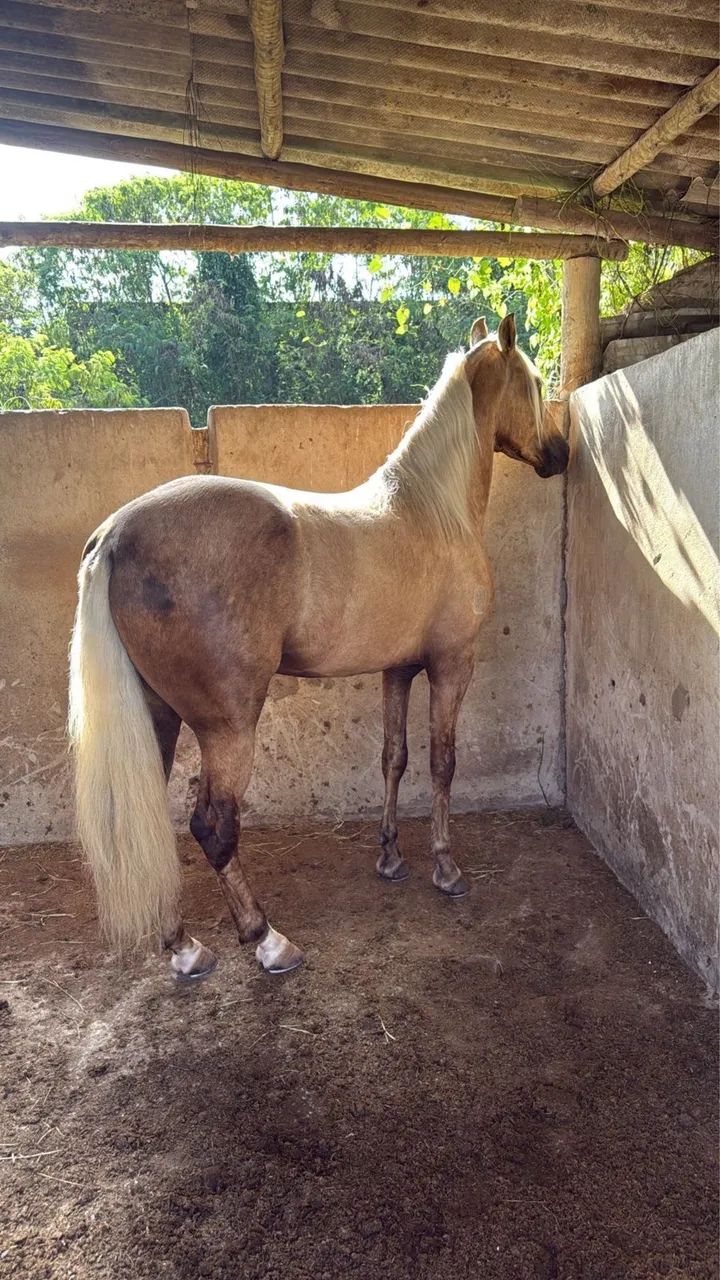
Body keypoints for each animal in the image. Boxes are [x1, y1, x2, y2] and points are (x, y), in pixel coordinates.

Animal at [68, 313, 568, 980]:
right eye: (534, 383)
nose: (562, 454)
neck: (434, 513)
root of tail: (116, 534)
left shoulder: (397, 670)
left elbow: (393, 758)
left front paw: (391, 859)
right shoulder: (451, 665)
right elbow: (442, 762)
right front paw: (446, 869)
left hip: (159, 715)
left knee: (147, 820)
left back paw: (183, 947)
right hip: (228, 727)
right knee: (213, 826)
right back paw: (266, 939)